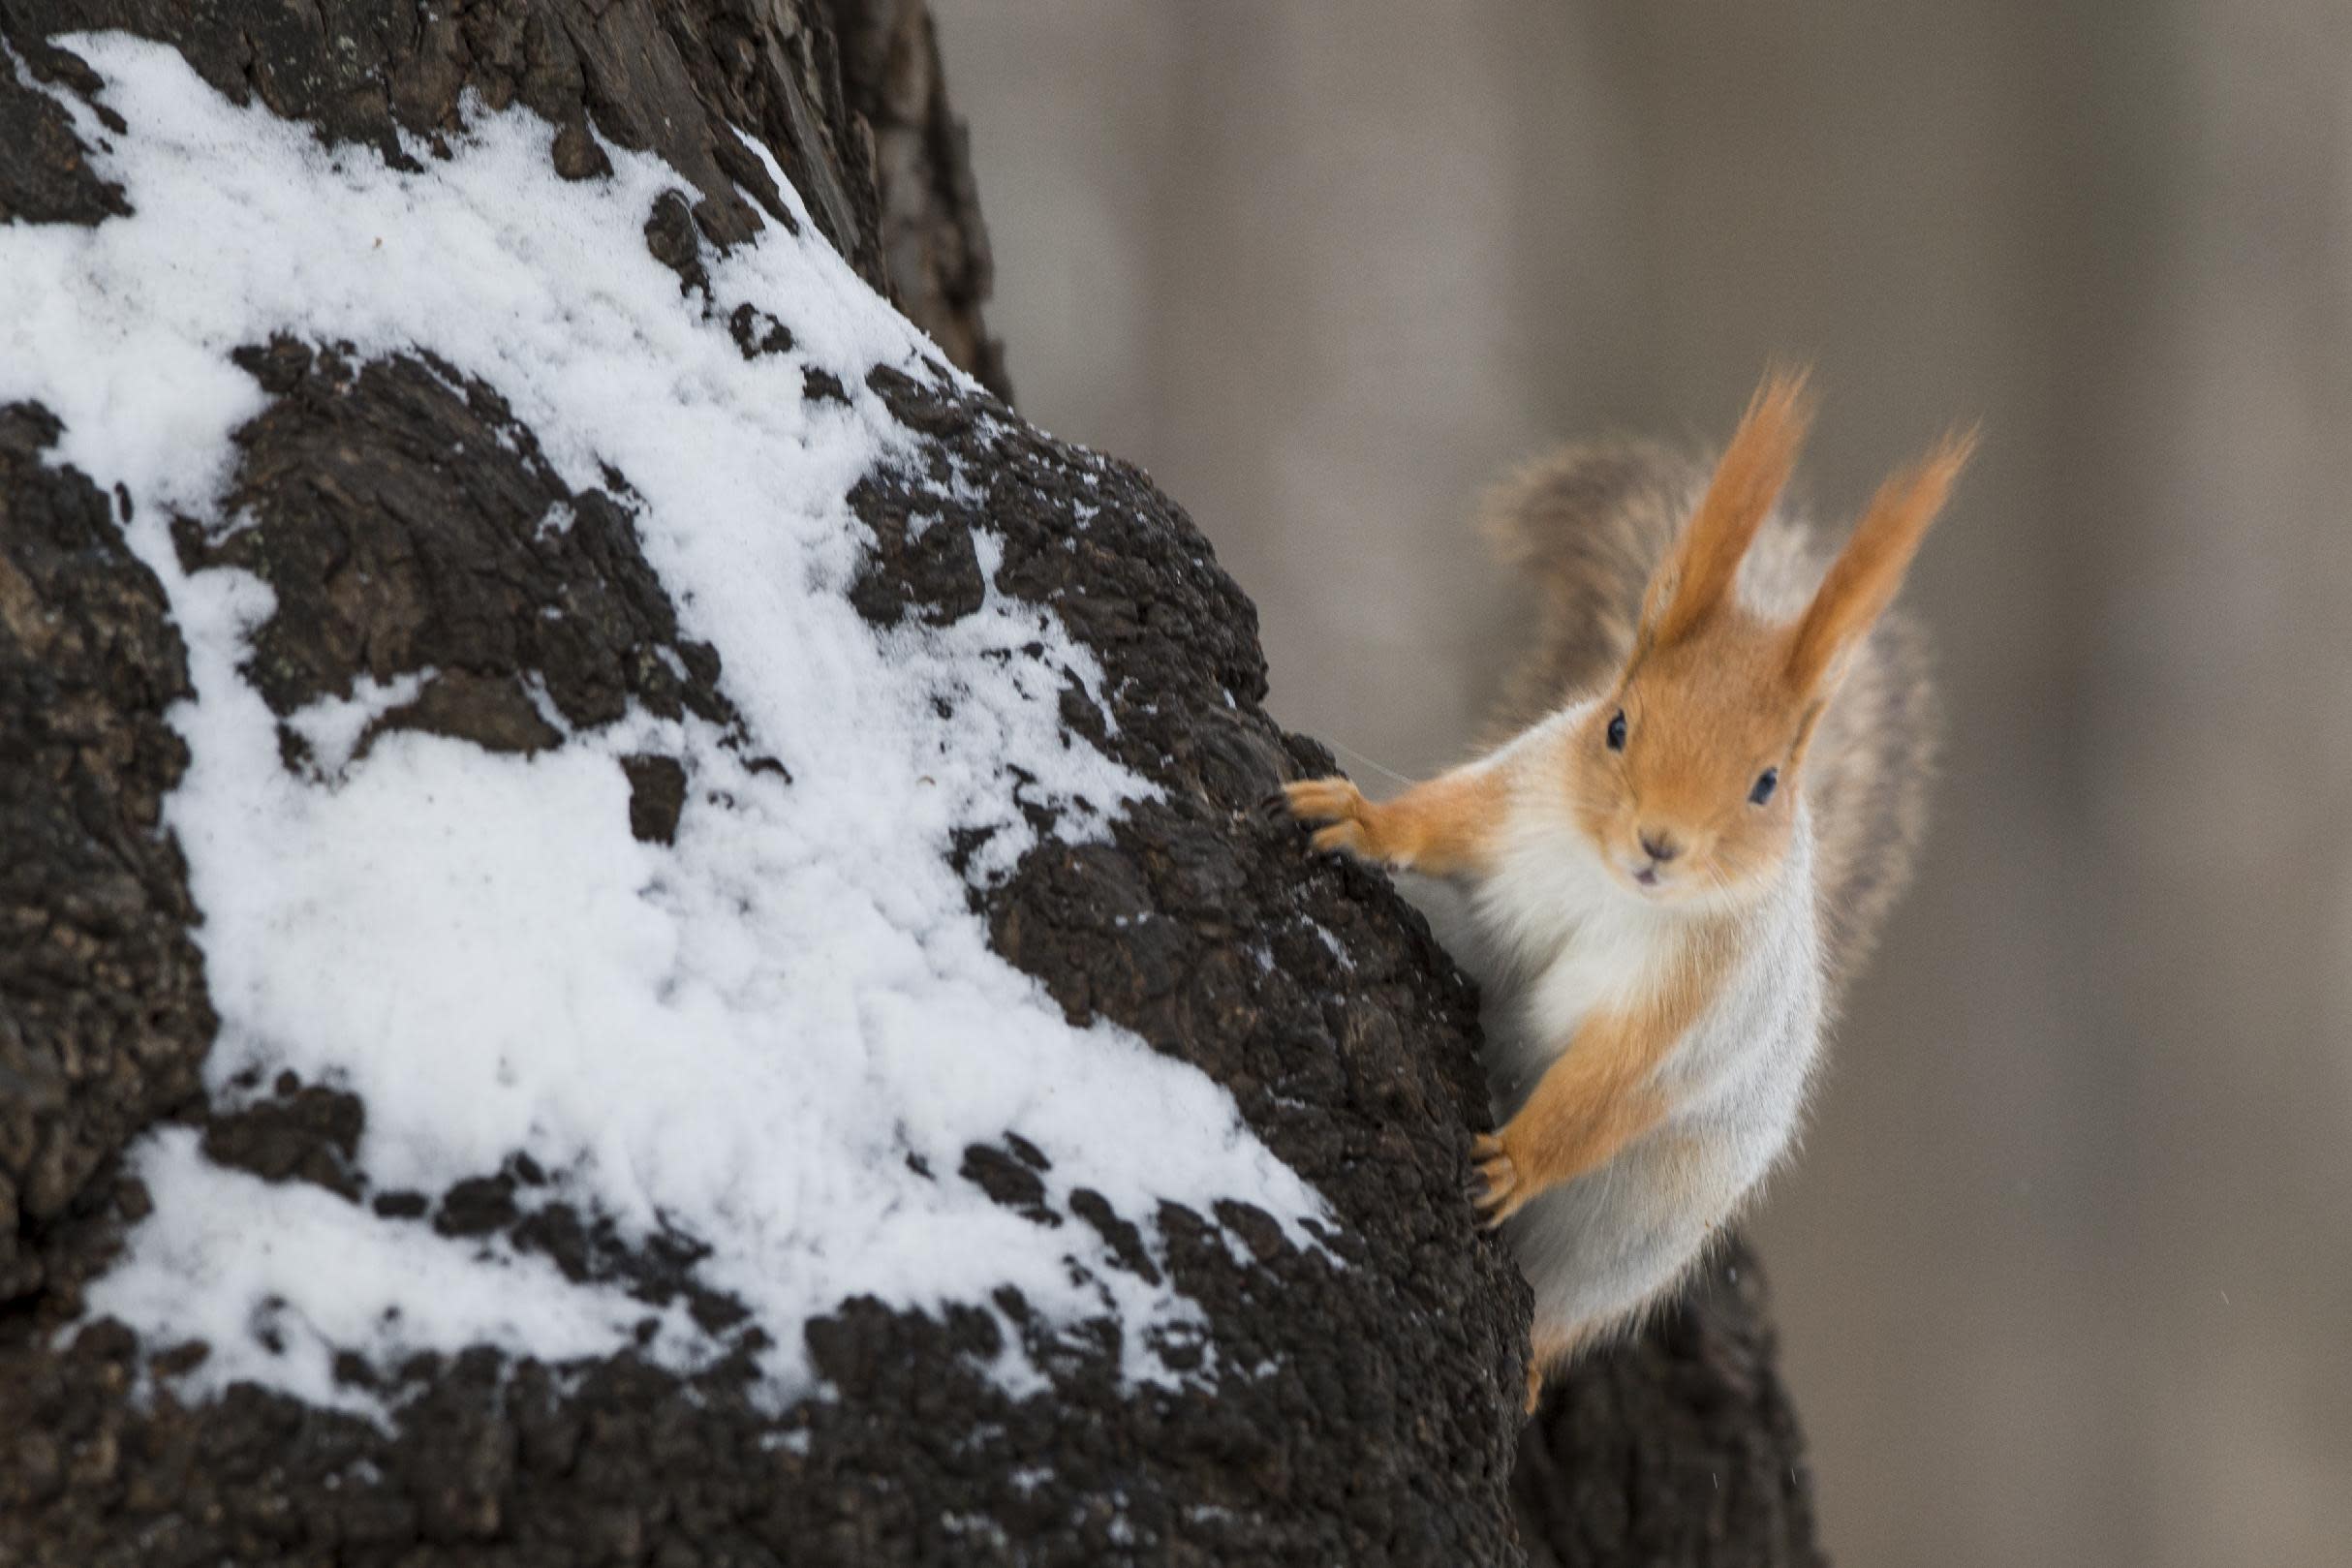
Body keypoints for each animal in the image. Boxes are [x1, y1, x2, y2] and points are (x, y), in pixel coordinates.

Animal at [1288, 371, 1965, 1410]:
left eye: (1767, 783)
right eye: (1615, 723)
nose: (1659, 844)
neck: (1619, 890)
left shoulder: (1692, 1008)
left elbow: (1605, 1091)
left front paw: (1519, 1157)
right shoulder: (1516, 799)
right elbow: (1440, 823)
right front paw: (1361, 818)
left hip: (1623, 1248)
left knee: (1562, 1317)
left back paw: (1530, 1364)